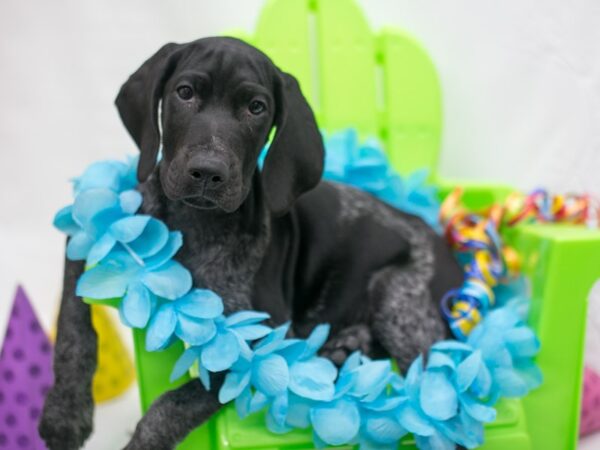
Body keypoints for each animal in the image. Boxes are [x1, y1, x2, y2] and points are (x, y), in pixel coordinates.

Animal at [39, 37, 464, 448]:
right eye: (184, 93)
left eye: (256, 108)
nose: (208, 172)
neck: (198, 225)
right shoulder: (91, 232)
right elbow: (73, 318)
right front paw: (64, 413)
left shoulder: (261, 340)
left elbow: (176, 403)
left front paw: (141, 439)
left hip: (398, 297)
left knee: (436, 397)